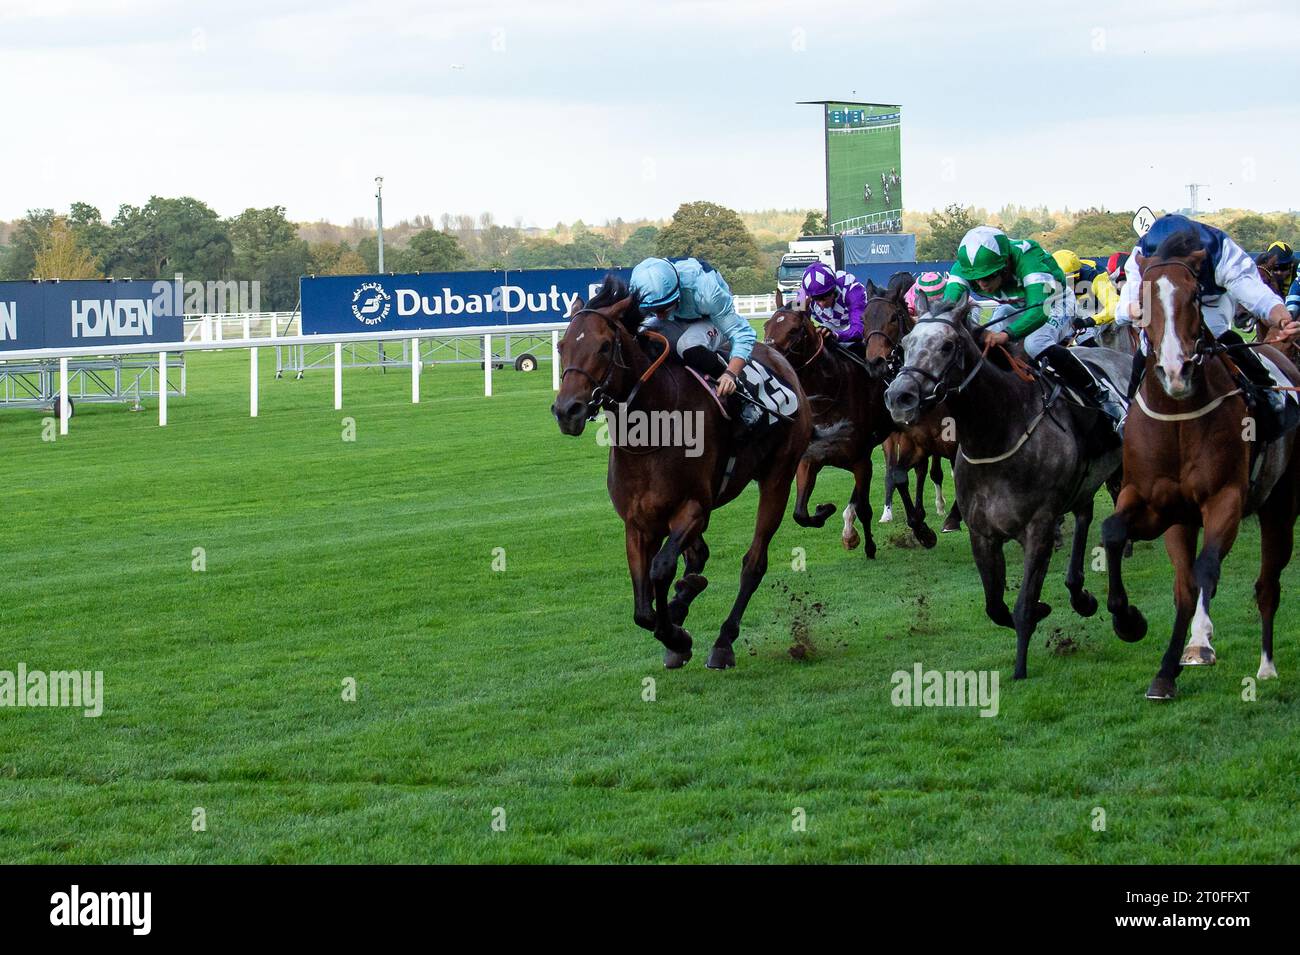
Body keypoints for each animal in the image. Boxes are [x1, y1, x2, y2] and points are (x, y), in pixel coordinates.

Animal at [551, 272, 811, 670]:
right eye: (561, 345)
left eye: (605, 347)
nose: (568, 411)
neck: (651, 431)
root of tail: (782, 361)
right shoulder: (637, 523)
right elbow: (643, 608)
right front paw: (675, 625)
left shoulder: (693, 509)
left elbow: (660, 569)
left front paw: (676, 633)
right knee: (698, 557)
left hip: (778, 478)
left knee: (753, 564)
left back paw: (722, 642)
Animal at [883, 297, 1128, 680]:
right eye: (906, 343)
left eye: (947, 345)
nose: (899, 396)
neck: (998, 431)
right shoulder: (982, 533)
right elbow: (995, 606)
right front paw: (1046, 608)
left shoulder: (1039, 526)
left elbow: (1023, 604)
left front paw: (1020, 668)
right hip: (1085, 483)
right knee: (1085, 516)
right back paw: (1081, 594)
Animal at [1097, 231, 1300, 696]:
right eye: (1142, 297)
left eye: (1193, 296)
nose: (1176, 370)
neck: (1178, 417)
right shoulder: (1154, 504)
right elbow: (1115, 534)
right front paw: (1130, 623)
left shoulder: (1225, 498)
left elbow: (1208, 568)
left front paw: (1199, 644)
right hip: (1184, 519)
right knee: (1187, 584)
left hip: (1280, 506)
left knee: (1267, 585)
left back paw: (1265, 666)